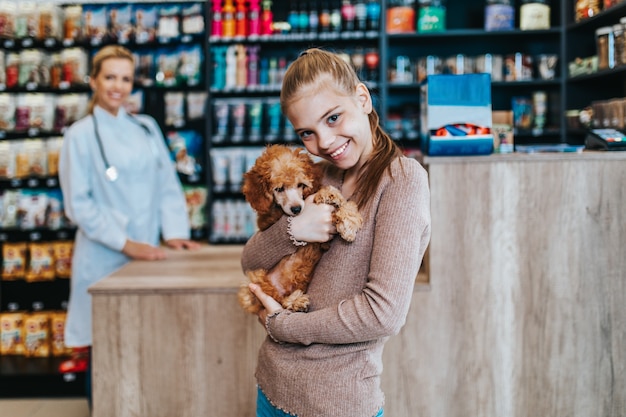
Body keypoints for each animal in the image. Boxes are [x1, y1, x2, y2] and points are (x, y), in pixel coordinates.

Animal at [238, 143, 360, 312]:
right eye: (279, 189)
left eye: (300, 185)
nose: (296, 209)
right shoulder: (270, 219)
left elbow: (341, 202)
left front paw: (339, 207)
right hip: (255, 280)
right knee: (275, 298)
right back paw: (295, 301)